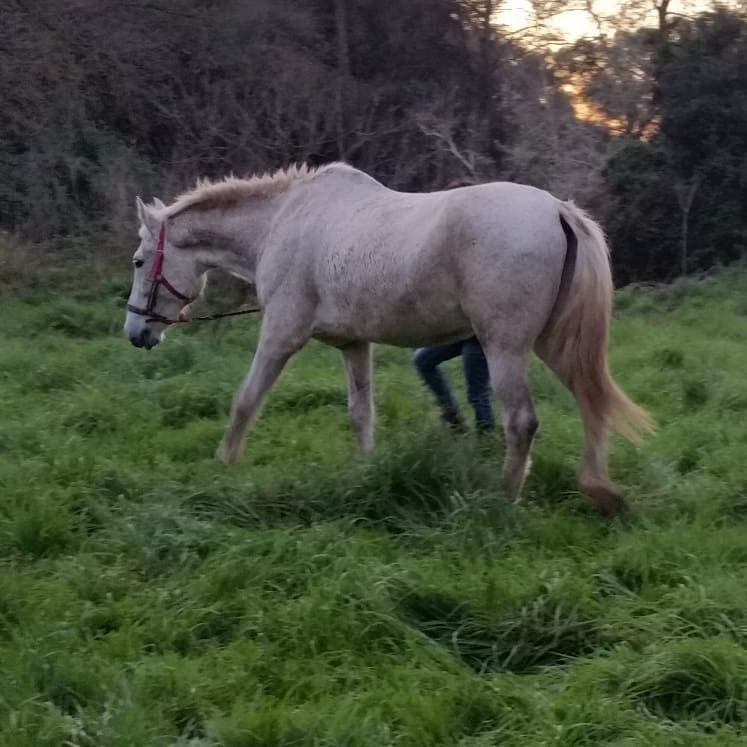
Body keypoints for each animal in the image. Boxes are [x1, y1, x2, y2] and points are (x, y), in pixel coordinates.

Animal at [124, 162, 652, 517]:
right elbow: (361, 413)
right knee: (591, 404)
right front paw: (366, 471)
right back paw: (599, 491)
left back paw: (503, 498)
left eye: (138, 260)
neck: (282, 222)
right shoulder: (354, 345)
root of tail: (556, 210)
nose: (136, 332)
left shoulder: (280, 335)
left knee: (522, 422)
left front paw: (225, 462)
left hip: (505, 348)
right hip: (555, 345)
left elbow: (246, 400)